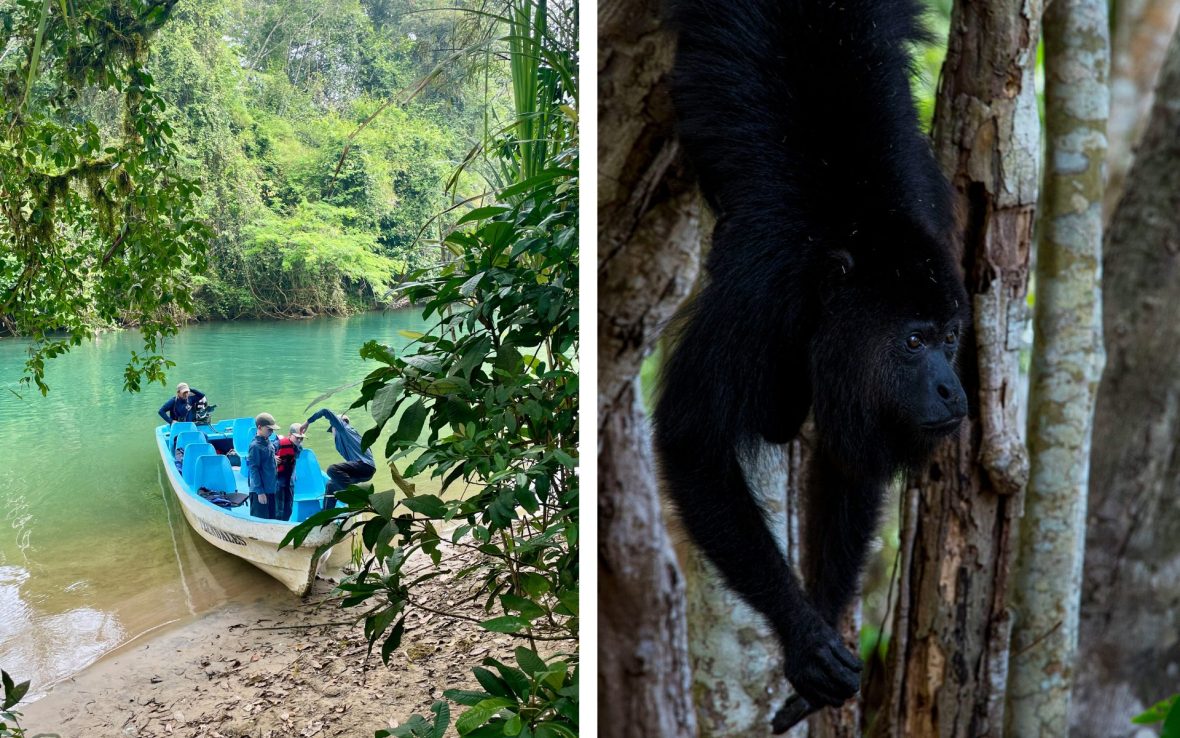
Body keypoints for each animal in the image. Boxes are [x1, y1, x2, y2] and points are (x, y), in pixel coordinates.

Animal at [656, 0, 967, 727]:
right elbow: (691, 438)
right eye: (914, 342)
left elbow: (852, 461)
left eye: (951, 337)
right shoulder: (758, 297)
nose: (953, 392)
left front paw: (822, 622)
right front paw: (803, 639)